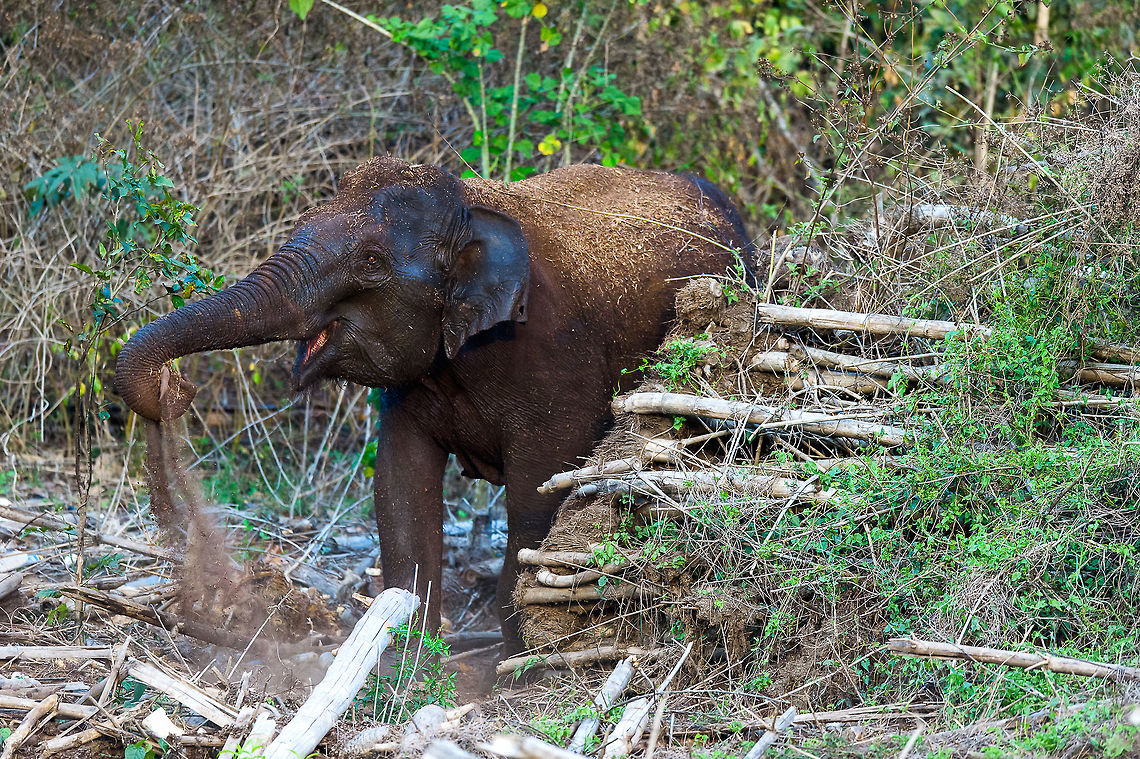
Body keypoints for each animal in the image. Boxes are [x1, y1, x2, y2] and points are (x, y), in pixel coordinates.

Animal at [114, 156, 755, 649]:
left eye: (371, 260)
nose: (175, 389)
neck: (474, 206)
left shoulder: (558, 364)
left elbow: (538, 498)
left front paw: (518, 666)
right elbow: (399, 485)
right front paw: (406, 664)